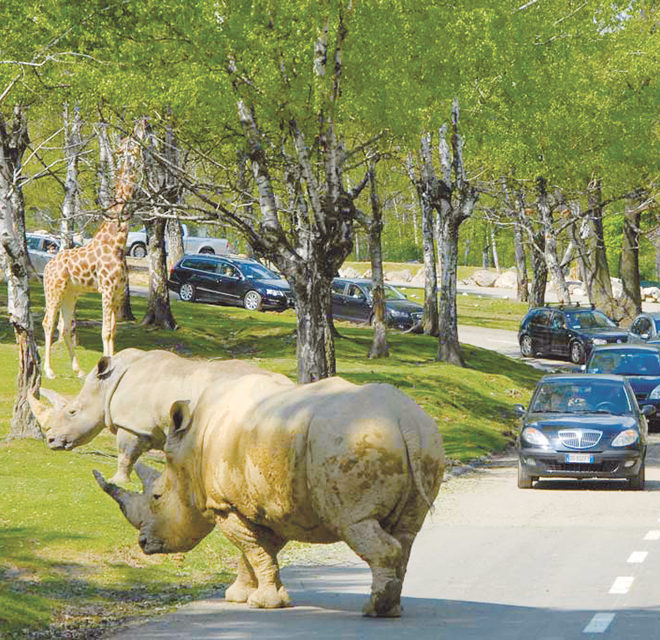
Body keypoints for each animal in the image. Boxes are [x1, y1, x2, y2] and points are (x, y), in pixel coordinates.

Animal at [42, 122, 146, 378]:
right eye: (132, 140)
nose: (144, 122)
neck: (117, 242)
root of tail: (47, 266)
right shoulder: (106, 290)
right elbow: (105, 331)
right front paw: (106, 366)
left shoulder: (118, 292)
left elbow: (113, 331)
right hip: (54, 290)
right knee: (48, 322)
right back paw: (49, 370)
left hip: (70, 293)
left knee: (65, 327)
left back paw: (78, 370)